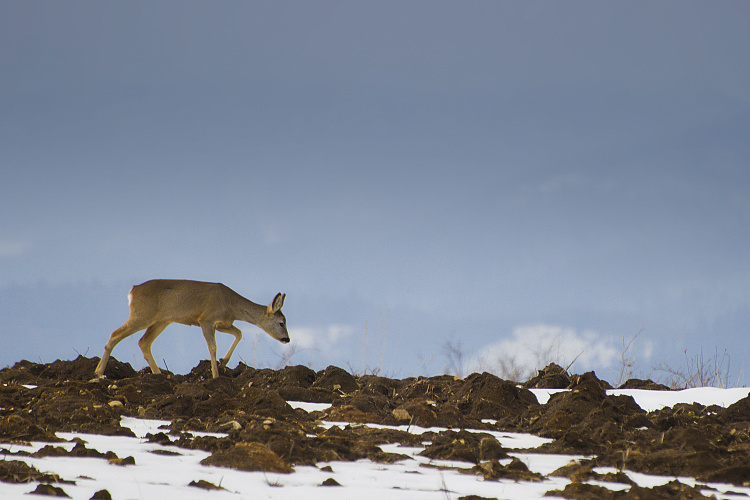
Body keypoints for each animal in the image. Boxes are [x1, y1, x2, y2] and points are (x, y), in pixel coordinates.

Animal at [95, 282, 290, 378]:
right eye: (282, 322)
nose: (287, 339)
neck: (231, 306)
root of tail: (132, 292)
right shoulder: (206, 319)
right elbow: (212, 347)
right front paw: (215, 375)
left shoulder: (223, 323)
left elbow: (239, 333)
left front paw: (224, 362)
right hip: (143, 315)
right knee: (115, 334)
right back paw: (98, 372)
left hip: (162, 320)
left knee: (144, 342)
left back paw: (159, 375)